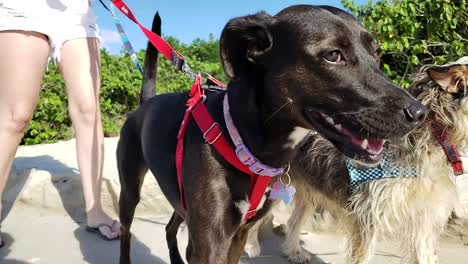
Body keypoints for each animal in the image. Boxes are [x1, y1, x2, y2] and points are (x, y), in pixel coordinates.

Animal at [118, 6, 428, 264]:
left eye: (376, 54)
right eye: (332, 55)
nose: (419, 113)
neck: (240, 139)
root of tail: (145, 103)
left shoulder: (237, 235)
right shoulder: (211, 243)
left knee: (171, 227)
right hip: (130, 192)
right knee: (126, 233)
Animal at [245, 56, 468, 262]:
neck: (431, 137)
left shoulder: (423, 219)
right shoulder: (367, 217)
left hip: (308, 189)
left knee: (292, 221)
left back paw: (293, 252)